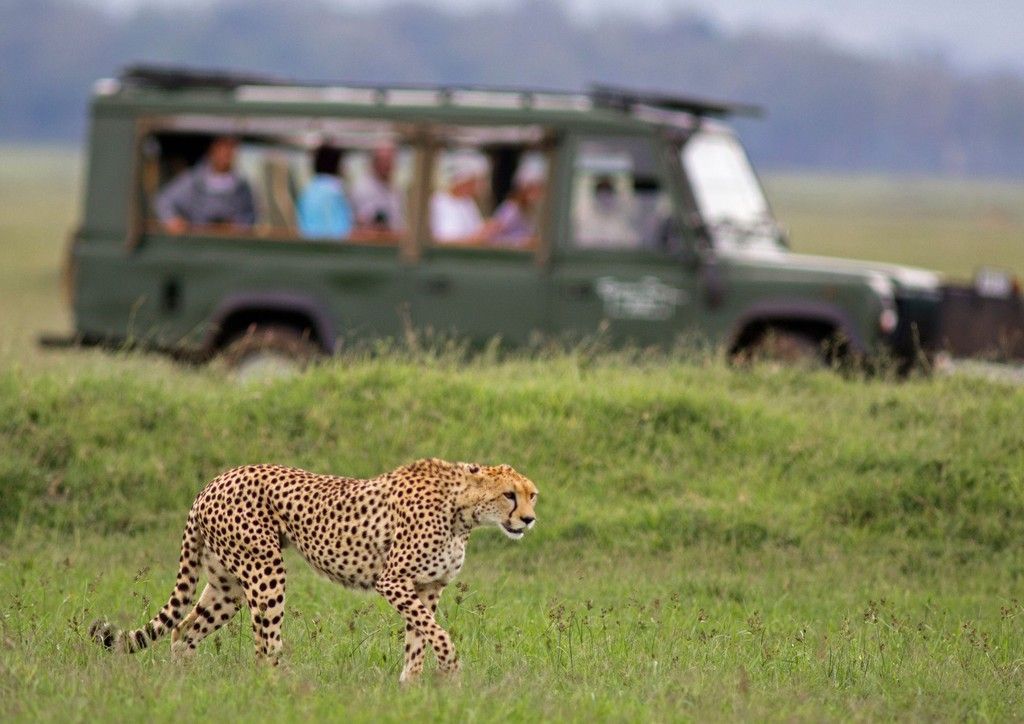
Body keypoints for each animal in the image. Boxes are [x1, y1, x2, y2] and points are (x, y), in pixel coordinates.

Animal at [88, 458, 538, 682]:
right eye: (509, 495)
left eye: (532, 495)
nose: (530, 520)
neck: (463, 510)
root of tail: (212, 482)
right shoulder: (393, 581)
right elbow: (437, 635)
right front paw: (452, 672)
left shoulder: (427, 588)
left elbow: (419, 639)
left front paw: (411, 688)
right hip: (265, 569)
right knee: (264, 646)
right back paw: (284, 688)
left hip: (227, 585)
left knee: (183, 632)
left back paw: (186, 687)